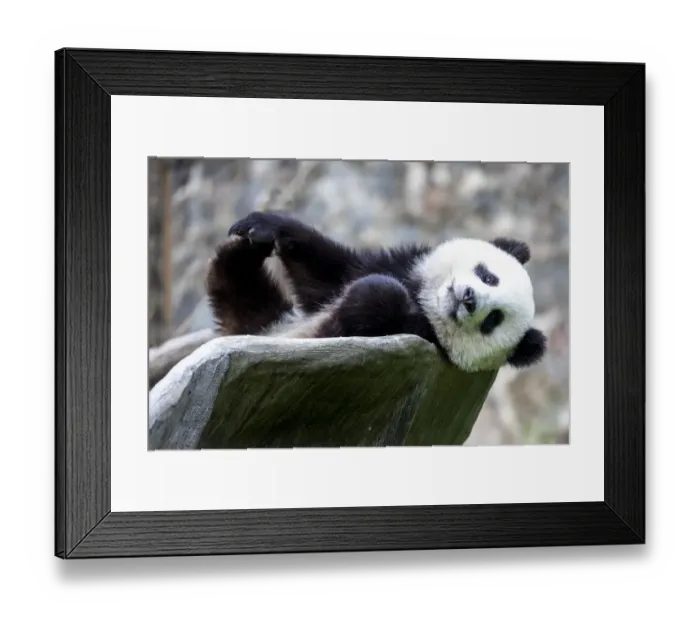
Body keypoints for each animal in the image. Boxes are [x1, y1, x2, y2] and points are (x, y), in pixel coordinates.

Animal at [205, 210, 546, 373]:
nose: (469, 299)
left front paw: (377, 293)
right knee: (238, 282)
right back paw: (247, 250)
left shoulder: (418, 335)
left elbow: (372, 306)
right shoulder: (396, 263)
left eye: (493, 320)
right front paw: (265, 226)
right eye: (489, 276)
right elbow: (327, 274)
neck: (425, 302)